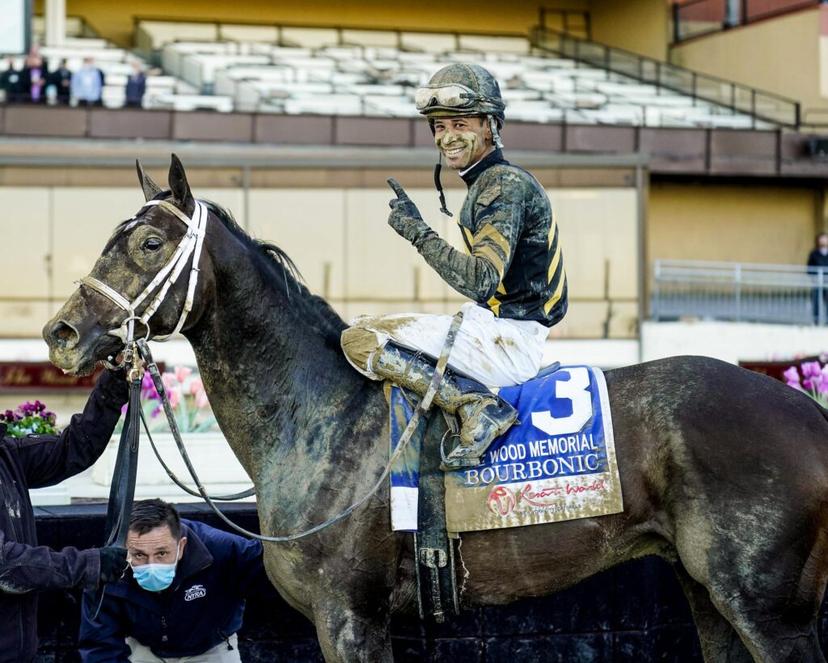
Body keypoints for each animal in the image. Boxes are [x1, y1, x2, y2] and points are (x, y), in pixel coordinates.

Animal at [43, 155, 828, 662]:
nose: (62, 333)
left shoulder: (347, 617)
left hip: (767, 609)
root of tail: (809, 412)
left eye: (149, 242)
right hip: (706, 592)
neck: (318, 415)